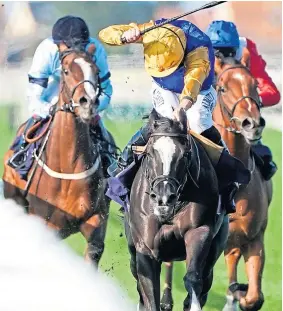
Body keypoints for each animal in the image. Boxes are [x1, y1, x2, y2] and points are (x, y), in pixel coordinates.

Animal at [2, 44, 111, 268]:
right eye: (66, 70)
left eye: (96, 71)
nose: (87, 103)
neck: (69, 167)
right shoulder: (46, 224)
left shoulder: (96, 223)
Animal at [127, 109, 230, 311]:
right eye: (150, 153)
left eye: (185, 154)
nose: (164, 197)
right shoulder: (145, 249)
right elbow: (149, 292)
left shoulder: (199, 231)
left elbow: (193, 278)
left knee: (205, 280)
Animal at [160, 56, 272, 311]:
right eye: (223, 88)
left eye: (255, 85)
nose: (252, 123)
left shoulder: (252, 237)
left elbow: (254, 297)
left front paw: (240, 293)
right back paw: (166, 297)